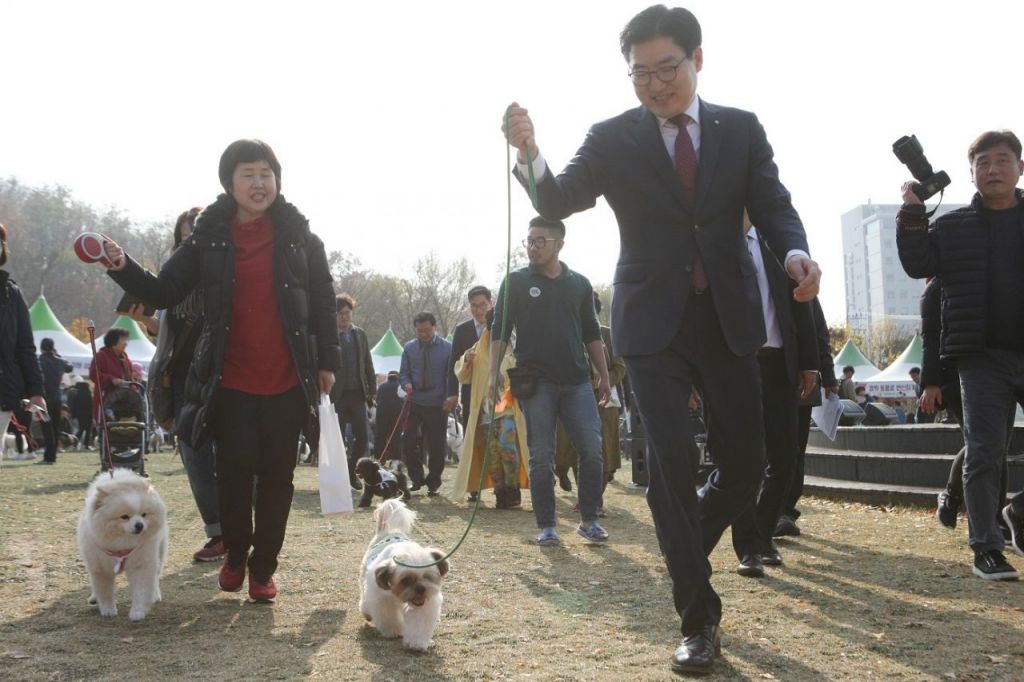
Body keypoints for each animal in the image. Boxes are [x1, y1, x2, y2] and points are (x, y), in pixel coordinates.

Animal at [77, 467, 168, 621]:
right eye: (124, 517)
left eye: (144, 514)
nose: (139, 525)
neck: (122, 544)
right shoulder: (100, 568)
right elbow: (104, 591)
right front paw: (108, 610)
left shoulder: (141, 564)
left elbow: (141, 589)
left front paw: (137, 612)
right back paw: (94, 597)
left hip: (159, 552)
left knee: (155, 576)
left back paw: (155, 595)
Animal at [359, 499, 448, 650]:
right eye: (406, 580)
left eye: (427, 576)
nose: (420, 588)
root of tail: (387, 531)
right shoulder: (382, 599)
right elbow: (388, 617)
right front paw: (393, 631)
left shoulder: (423, 606)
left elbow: (419, 623)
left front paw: (417, 643)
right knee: (365, 598)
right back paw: (366, 611)